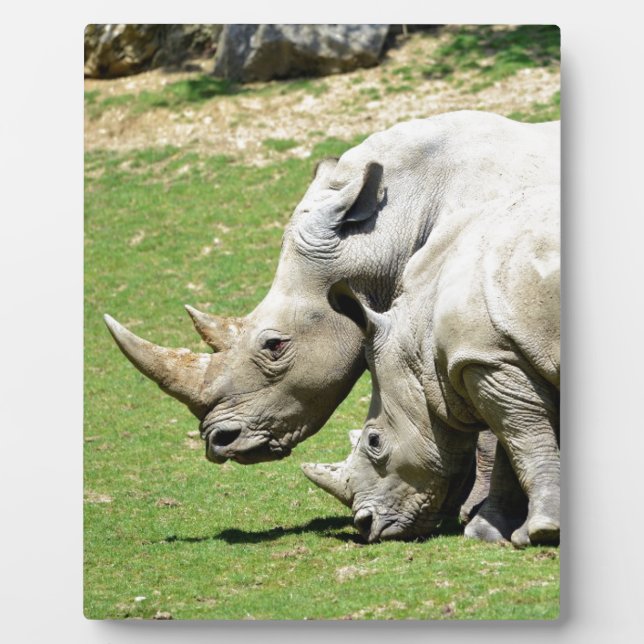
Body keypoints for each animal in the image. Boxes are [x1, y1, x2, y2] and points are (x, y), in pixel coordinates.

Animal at [302, 184, 560, 548]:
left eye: (374, 442)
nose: (365, 526)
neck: (418, 341)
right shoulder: (505, 359)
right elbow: (511, 449)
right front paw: (489, 534)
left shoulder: (489, 359)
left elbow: (524, 439)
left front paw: (542, 530)